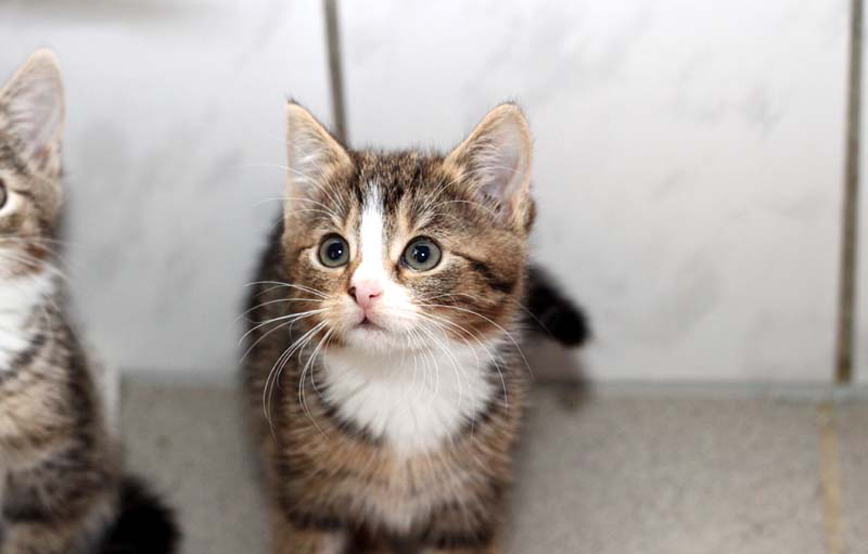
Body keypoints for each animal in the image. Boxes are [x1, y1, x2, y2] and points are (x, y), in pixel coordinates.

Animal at [244, 101, 584, 548]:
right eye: (333, 251)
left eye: (423, 254)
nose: (363, 291)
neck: (402, 380)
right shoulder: (304, 497)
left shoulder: (469, 509)